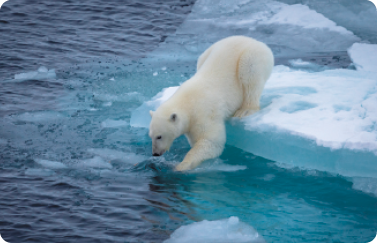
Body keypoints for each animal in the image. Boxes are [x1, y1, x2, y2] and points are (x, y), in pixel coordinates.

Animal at [148, 35, 274, 171]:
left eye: (159, 136)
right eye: (151, 136)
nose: (155, 153)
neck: (188, 101)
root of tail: (252, 39)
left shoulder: (204, 113)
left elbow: (211, 141)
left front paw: (181, 165)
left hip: (252, 55)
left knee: (250, 74)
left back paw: (245, 110)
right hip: (207, 53)